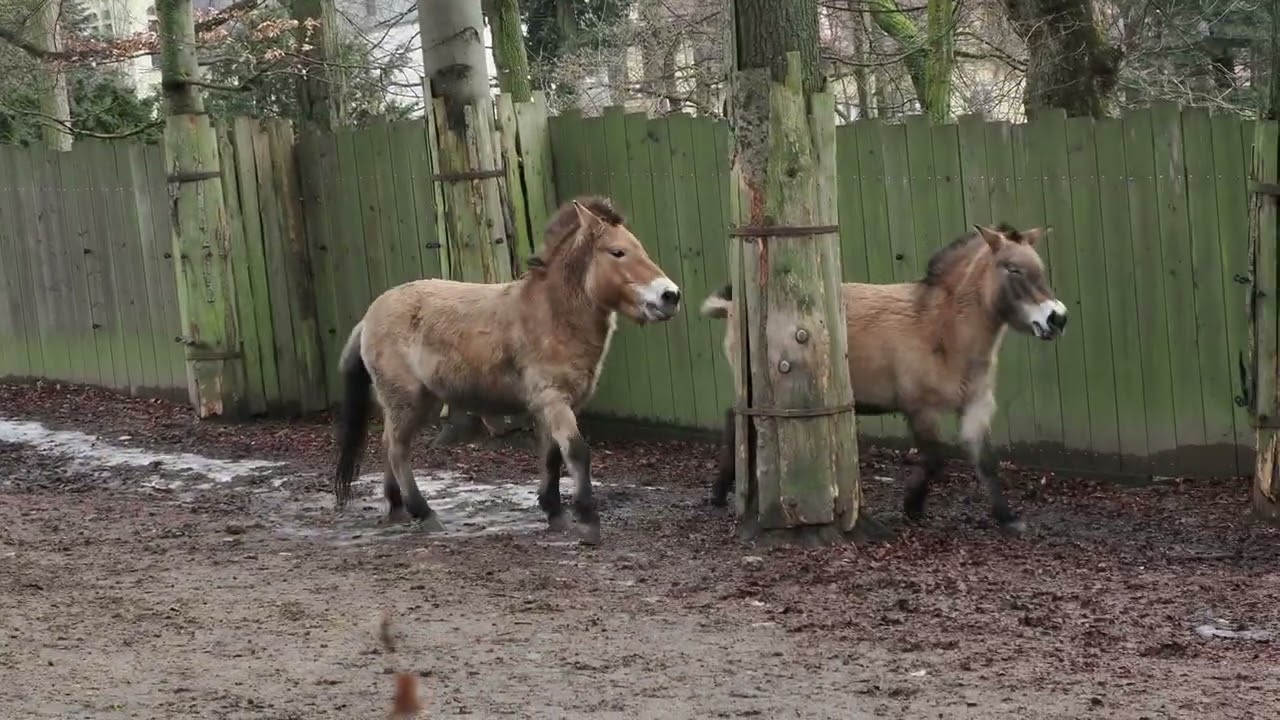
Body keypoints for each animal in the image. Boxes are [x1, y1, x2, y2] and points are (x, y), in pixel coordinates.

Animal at [331, 196, 683, 545]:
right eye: (617, 252)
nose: (671, 296)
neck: (552, 315)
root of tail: (368, 317)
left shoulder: (553, 406)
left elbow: (552, 455)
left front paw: (555, 513)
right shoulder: (553, 400)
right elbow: (577, 452)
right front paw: (587, 522)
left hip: (415, 402)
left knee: (388, 445)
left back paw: (396, 508)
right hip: (407, 400)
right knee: (397, 450)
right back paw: (424, 513)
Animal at [700, 223, 1068, 533]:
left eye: (1041, 269)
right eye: (1013, 268)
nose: (1057, 318)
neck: (942, 329)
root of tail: (732, 306)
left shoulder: (975, 406)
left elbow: (986, 462)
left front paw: (1008, 518)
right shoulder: (920, 409)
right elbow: (936, 458)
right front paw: (912, 506)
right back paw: (721, 491)